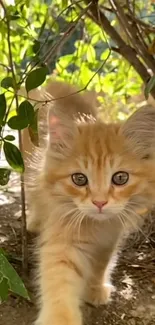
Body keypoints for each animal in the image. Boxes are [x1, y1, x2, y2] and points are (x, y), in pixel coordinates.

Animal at [25, 80, 155, 324]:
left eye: (120, 178)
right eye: (79, 179)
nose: (100, 202)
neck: (96, 227)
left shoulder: (110, 238)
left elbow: (100, 265)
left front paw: (95, 289)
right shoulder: (63, 238)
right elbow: (59, 280)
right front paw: (60, 318)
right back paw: (35, 221)